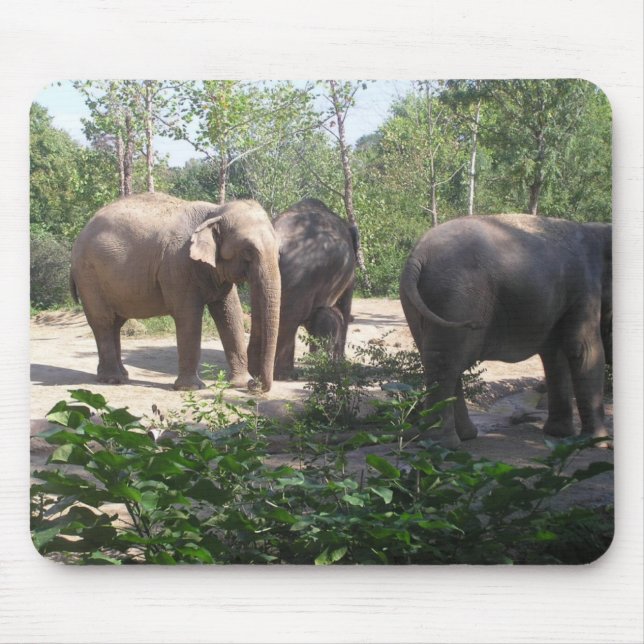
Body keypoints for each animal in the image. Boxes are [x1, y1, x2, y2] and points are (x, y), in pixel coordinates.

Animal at [70, 192, 281, 392]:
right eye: (248, 251)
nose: (256, 385)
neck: (214, 211)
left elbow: (230, 314)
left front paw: (239, 384)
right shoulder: (178, 265)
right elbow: (189, 316)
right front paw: (191, 388)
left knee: (115, 323)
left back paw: (119, 375)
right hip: (89, 276)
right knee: (103, 321)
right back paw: (113, 379)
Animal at [399, 213, 612, 449]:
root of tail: (418, 255)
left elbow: (555, 355)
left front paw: (559, 433)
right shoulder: (584, 287)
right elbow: (584, 350)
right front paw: (598, 442)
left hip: (423, 301)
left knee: (441, 358)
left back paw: (463, 436)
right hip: (455, 296)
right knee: (447, 362)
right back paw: (444, 444)